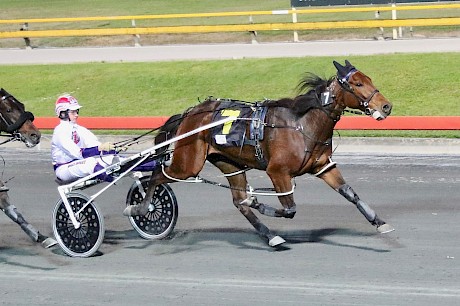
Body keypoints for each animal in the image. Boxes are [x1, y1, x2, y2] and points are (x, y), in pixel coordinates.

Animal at [125, 60, 396, 249]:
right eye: (358, 84)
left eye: (369, 79)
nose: (386, 106)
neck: (302, 124)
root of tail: (189, 113)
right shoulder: (277, 172)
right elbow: (289, 209)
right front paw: (257, 201)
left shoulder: (322, 167)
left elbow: (350, 193)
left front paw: (380, 223)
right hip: (187, 163)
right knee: (156, 176)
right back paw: (139, 209)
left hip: (228, 163)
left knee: (237, 201)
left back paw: (270, 235)